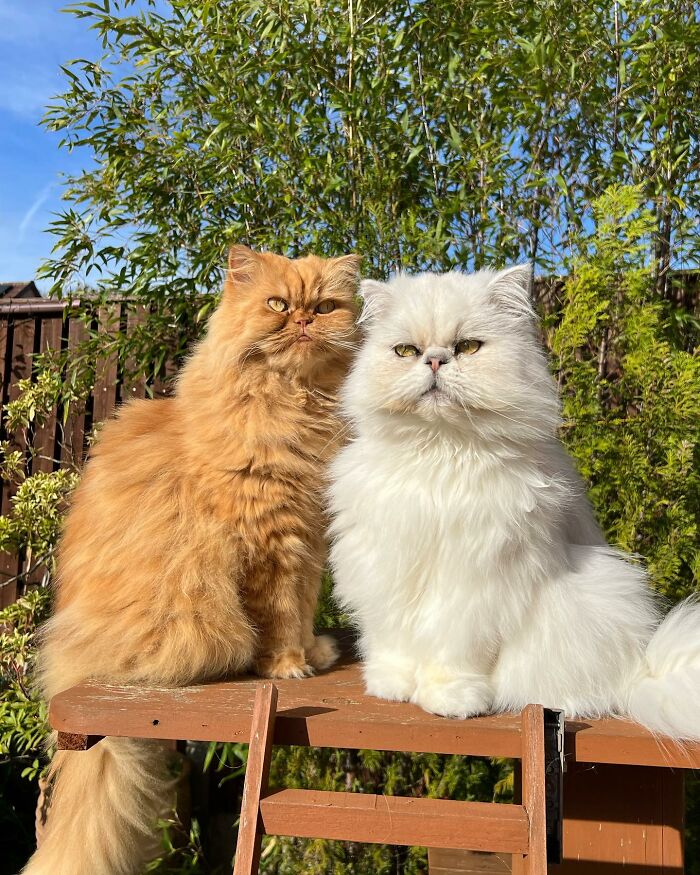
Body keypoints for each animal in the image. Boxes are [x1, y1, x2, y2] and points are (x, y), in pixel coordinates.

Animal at [23, 248, 360, 875]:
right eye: (278, 304)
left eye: (326, 307)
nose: (304, 320)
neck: (296, 406)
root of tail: (69, 664)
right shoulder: (273, 541)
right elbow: (282, 615)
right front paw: (288, 666)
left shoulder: (306, 539)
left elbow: (303, 609)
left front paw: (316, 653)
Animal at [328, 268, 700, 740]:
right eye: (406, 351)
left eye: (468, 347)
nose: (434, 361)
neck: (440, 451)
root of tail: (641, 669)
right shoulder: (387, 569)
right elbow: (395, 641)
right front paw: (390, 686)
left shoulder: (473, 587)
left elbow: (453, 655)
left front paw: (450, 701)